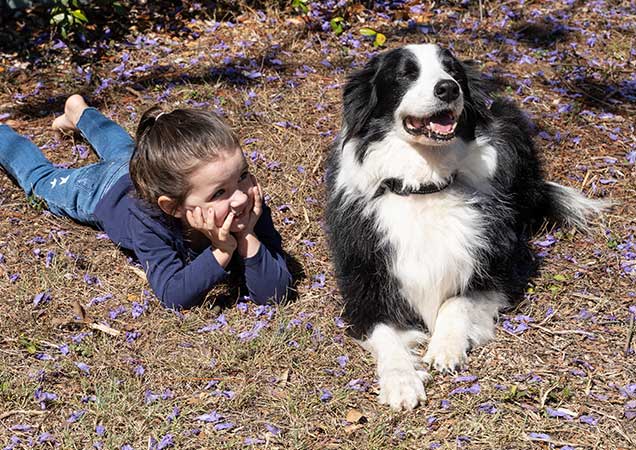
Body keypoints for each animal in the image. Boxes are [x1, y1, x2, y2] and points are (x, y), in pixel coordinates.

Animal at [326, 44, 604, 410]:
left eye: (453, 71)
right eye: (406, 74)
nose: (448, 88)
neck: (424, 185)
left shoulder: (501, 267)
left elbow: (456, 300)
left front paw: (446, 346)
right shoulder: (363, 286)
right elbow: (386, 335)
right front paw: (401, 382)